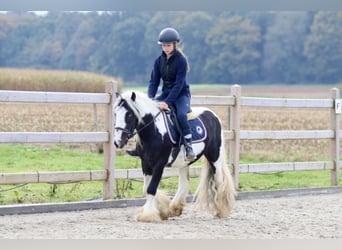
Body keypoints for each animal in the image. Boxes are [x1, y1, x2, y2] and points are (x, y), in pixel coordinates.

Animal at [112, 90, 235, 223]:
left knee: (219, 181)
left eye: (129, 115)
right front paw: (162, 210)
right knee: (184, 183)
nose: (118, 142)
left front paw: (148, 215)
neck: (154, 131)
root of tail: (213, 115)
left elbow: (151, 189)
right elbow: (146, 188)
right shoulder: (145, 163)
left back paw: (221, 210)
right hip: (184, 162)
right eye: (115, 114)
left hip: (215, 156)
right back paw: (174, 208)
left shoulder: (159, 164)